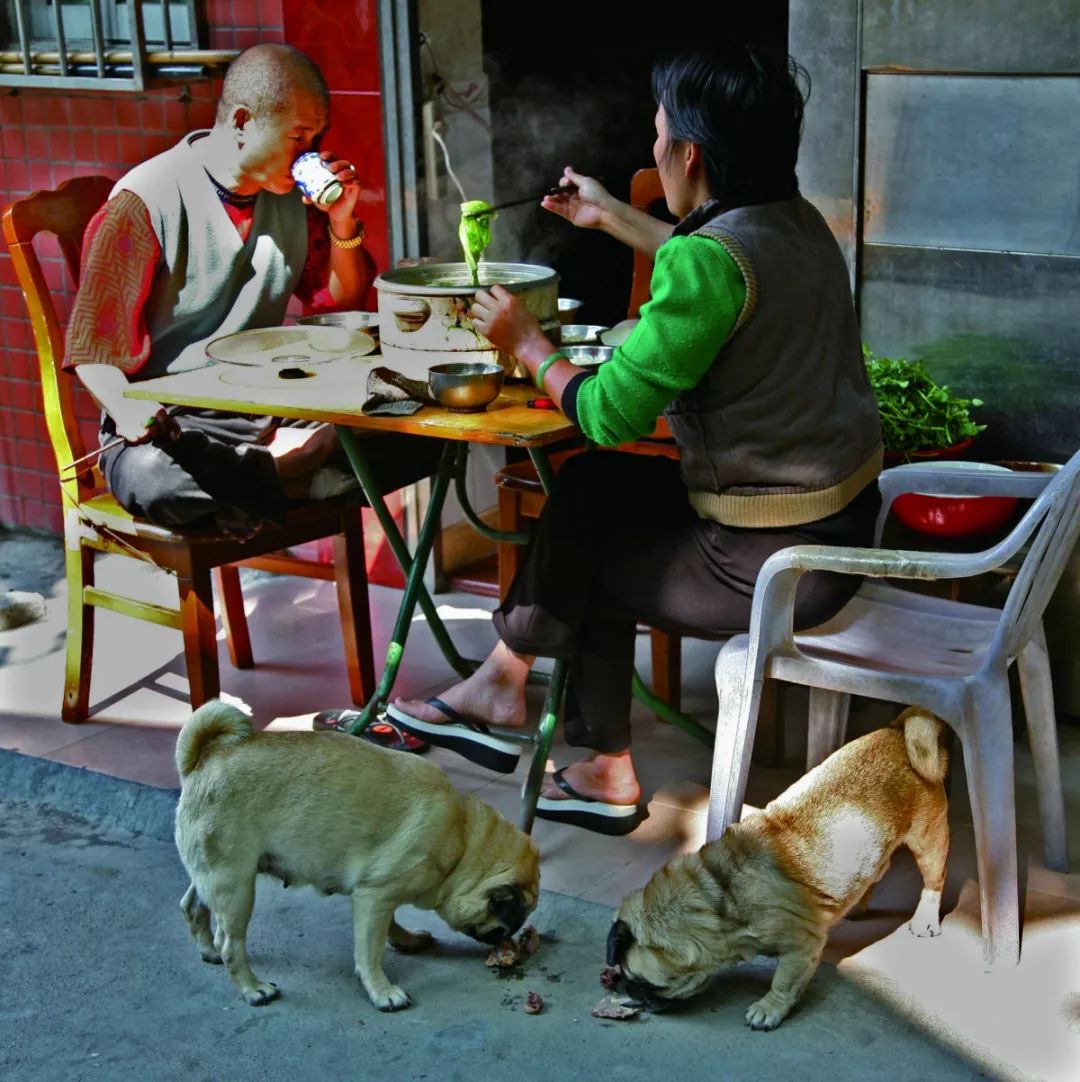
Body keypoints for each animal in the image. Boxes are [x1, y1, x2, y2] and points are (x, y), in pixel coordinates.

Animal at [175, 696, 541, 1008]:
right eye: (512, 915)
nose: (511, 933)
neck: (462, 840)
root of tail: (204, 759)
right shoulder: (374, 896)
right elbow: (370, 952)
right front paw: (382, 991)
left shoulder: (380, 898)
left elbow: (390, 924)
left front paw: (406, 939)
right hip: (236, 887)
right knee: (230, 944)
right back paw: (253, 988)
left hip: (214, 875)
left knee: (193, 906)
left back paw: (207, 951)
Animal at [606, 709, 952, 1030]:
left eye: (637, 980)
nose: (623, 987)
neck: (720, 898)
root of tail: (899, 731)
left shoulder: (802, 945)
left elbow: (784, 982)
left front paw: (768, 1009)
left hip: (928, 842)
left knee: (933, 882)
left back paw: (925, 920)